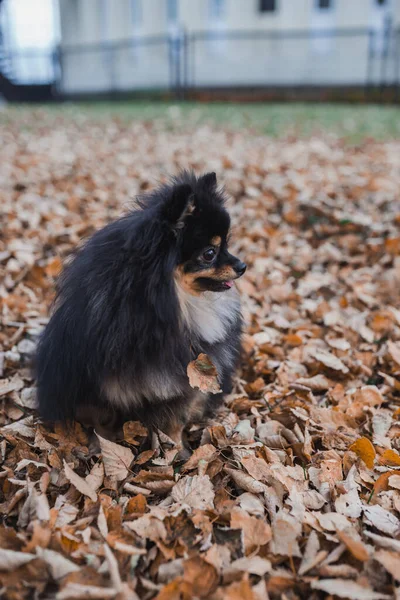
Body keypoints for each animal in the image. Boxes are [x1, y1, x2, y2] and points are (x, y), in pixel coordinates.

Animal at [35, 171, 247, 448]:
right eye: (210, 253)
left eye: (227, 244)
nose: (242, 266)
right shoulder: (100, 384)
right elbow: (100, 419)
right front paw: (103, 445)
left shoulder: (181, 383)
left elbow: (174, 423)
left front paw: (176, 451)